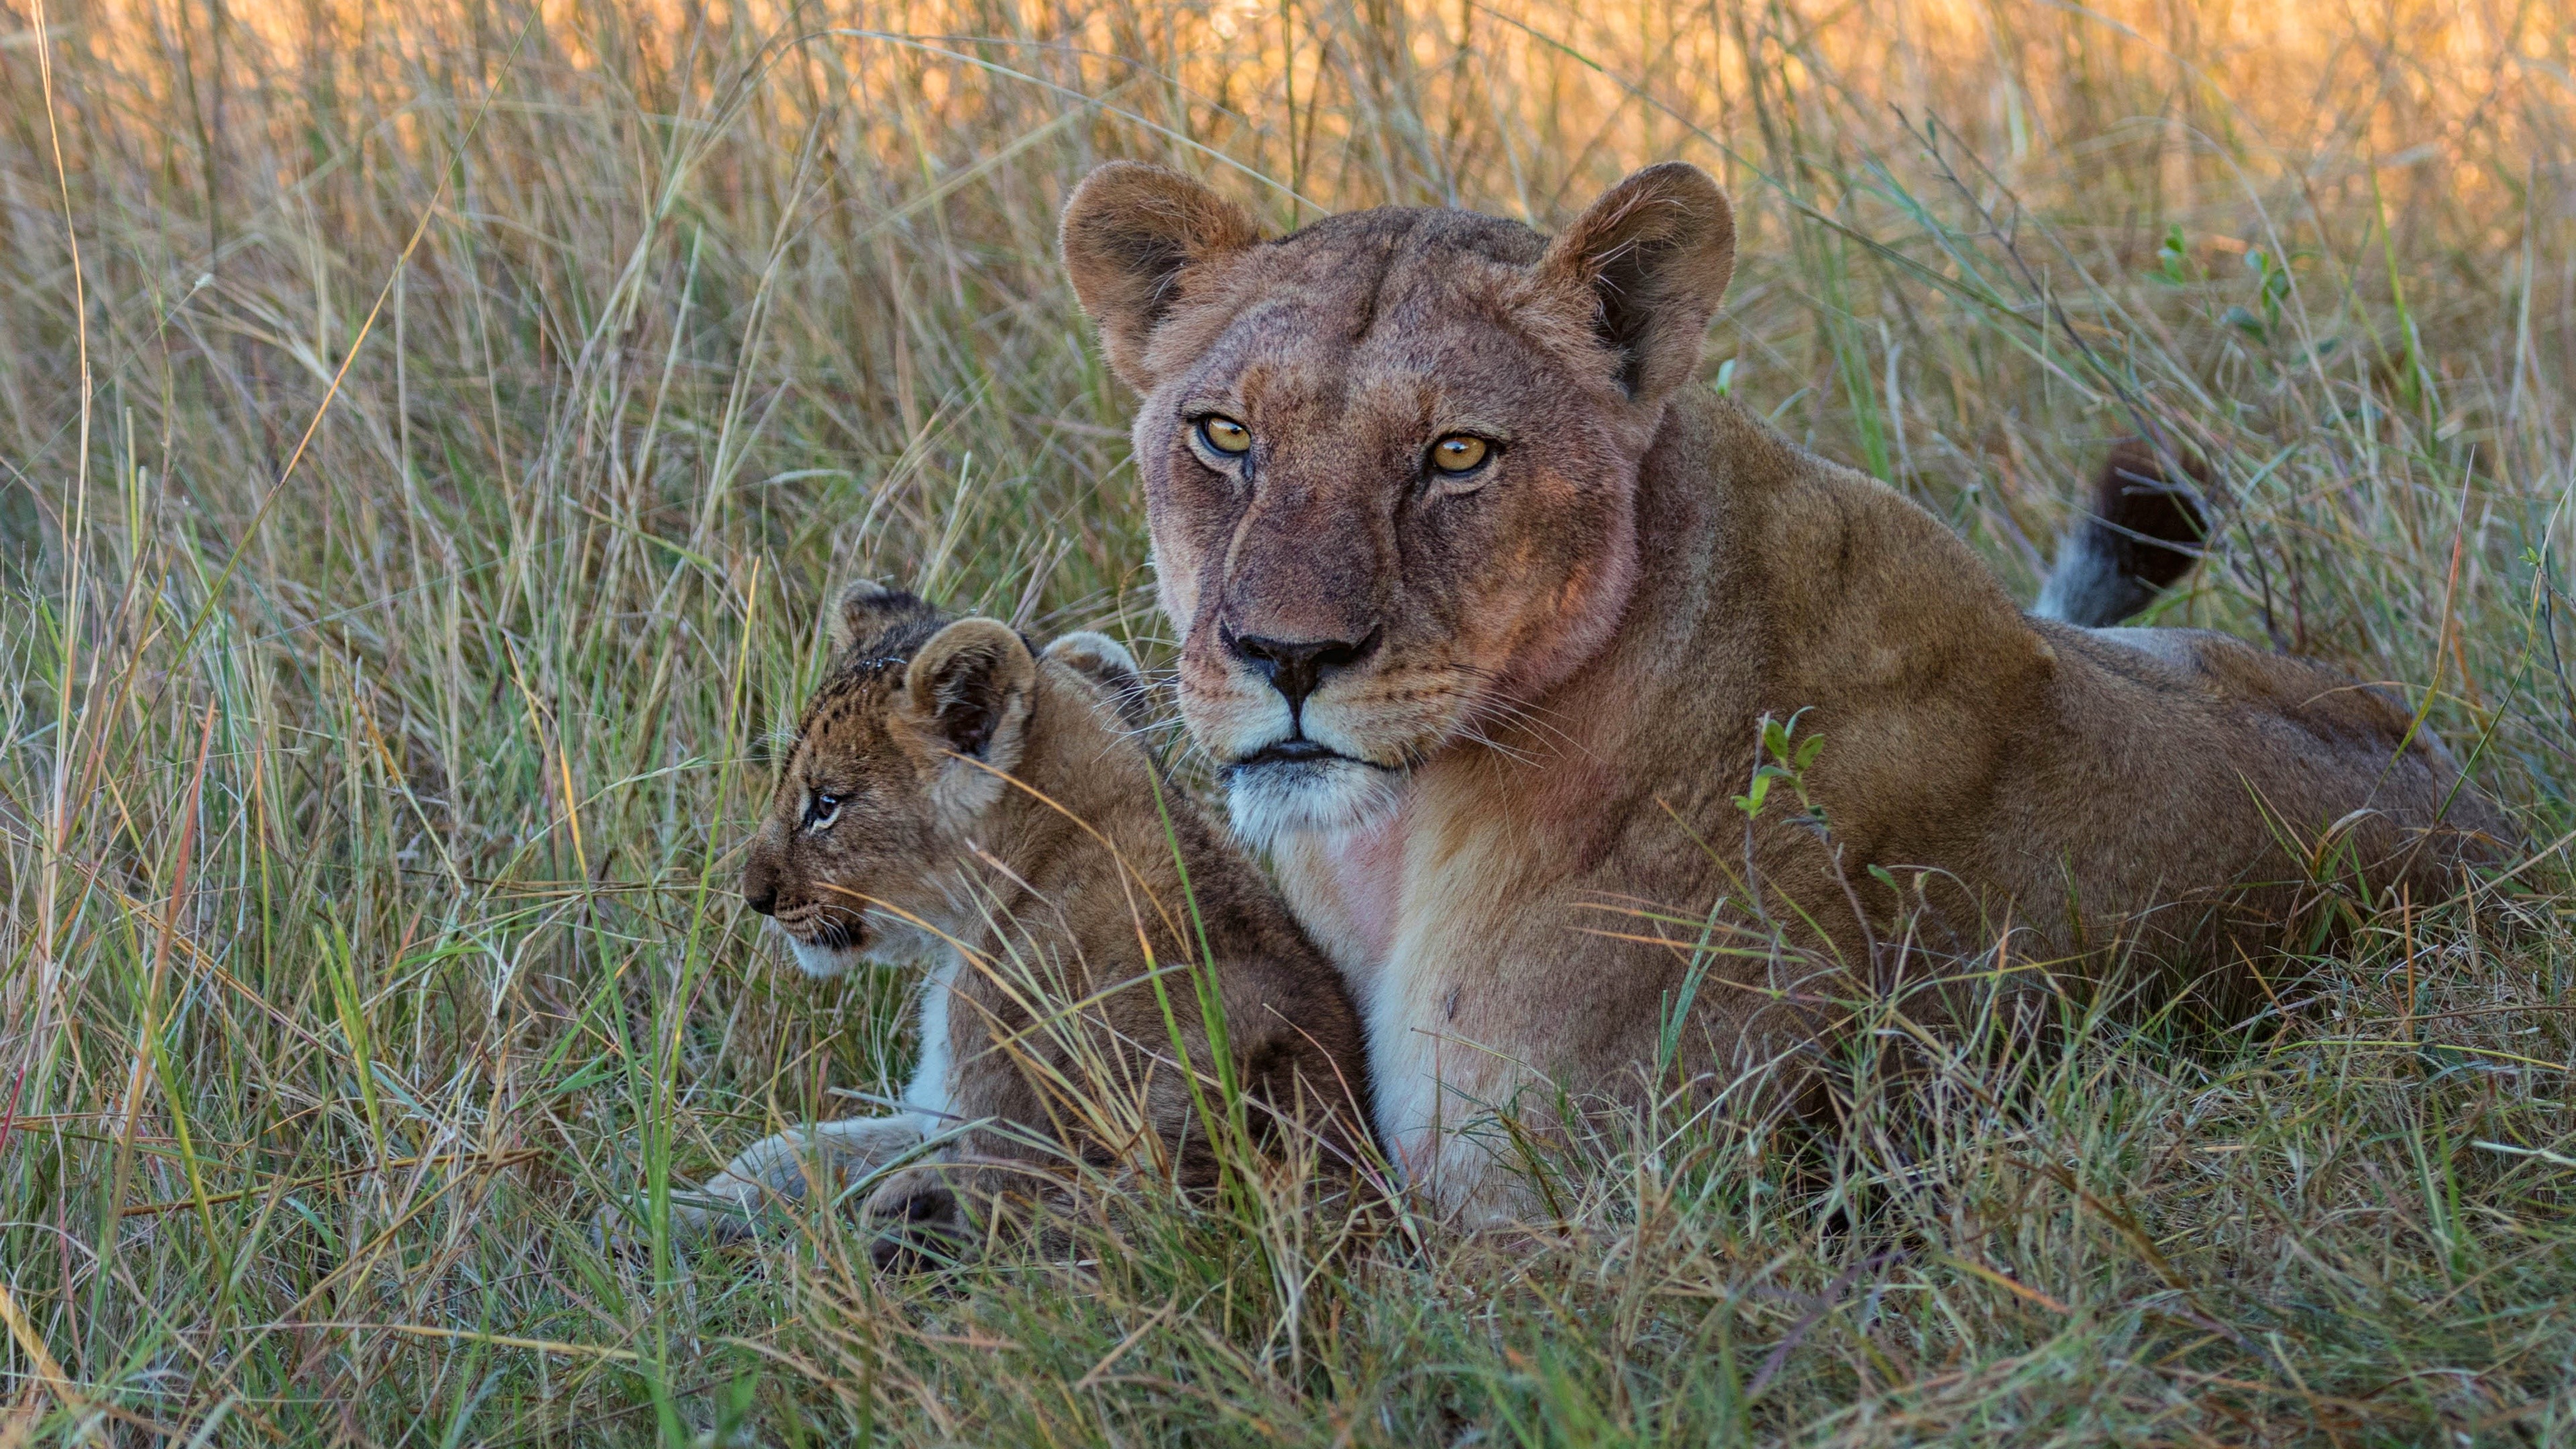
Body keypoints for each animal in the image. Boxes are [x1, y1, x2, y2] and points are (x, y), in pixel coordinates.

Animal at [673, 585, 1373, 1258]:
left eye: (825, 805)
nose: (754, 897)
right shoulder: (939, 1116)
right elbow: (811, 1146)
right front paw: (689, 1204)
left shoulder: (997, 1135)